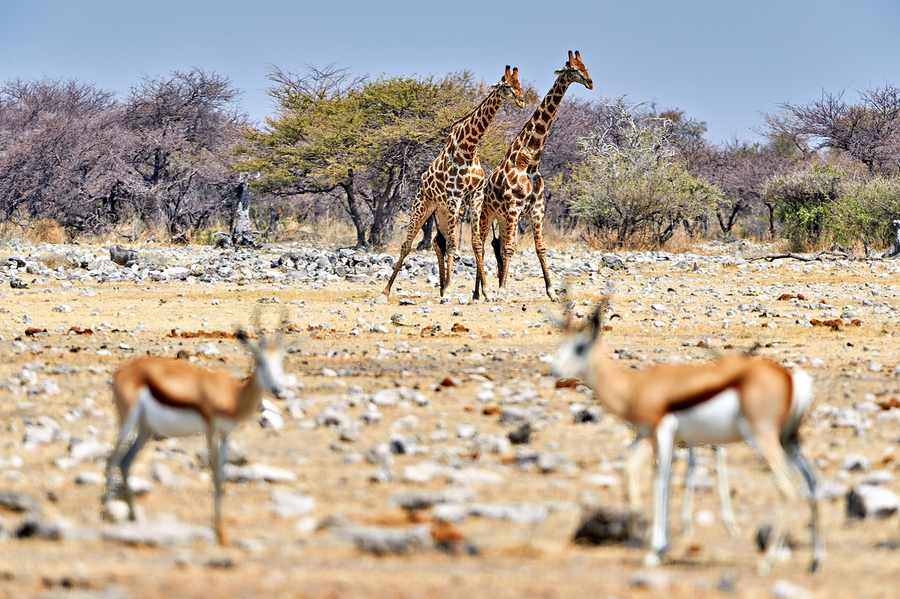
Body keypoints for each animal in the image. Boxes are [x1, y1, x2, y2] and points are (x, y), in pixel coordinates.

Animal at [382, 66, 525, 298]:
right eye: (506, 85)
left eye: (519, 84)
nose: (521, 101)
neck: (468, 148)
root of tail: (421, 183)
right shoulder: (454, 197)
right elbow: (451, 245)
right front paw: (450, 289)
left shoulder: (475, 197)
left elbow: (476, 244)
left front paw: (485, 291)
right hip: (423, 205)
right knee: (407, 244)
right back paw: (387, 290)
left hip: (442, 211)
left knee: (436, 241)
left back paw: (440, 288)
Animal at [472, 51, 593, 302]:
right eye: (572, 68)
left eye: (585, 66)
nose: (590, 82)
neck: (529, 161)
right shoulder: (514, 207)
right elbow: (510, 248)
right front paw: (501, 291)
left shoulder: (537, 208)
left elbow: (540, 248)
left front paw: (552, 292)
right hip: (487, 214)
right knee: (481, 244)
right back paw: (481, 292)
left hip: (501, 218)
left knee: (495, 246)